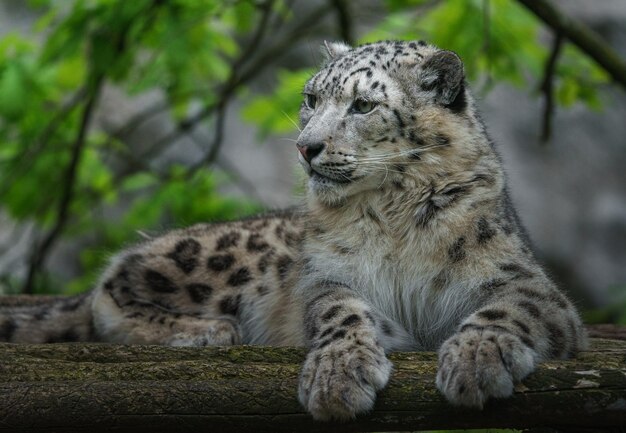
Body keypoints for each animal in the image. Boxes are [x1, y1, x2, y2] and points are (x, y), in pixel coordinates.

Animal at [1, 41, 584, 422]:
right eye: (311, 98)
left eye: (363, 104)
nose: (307, 146)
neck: (394, 215)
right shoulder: (328, 277)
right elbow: (339, 310)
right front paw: (338, 374)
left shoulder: (524, 281)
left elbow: (512, 306)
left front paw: (476, 360)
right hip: (226, 255)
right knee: (113, 284)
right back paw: (208, 329)